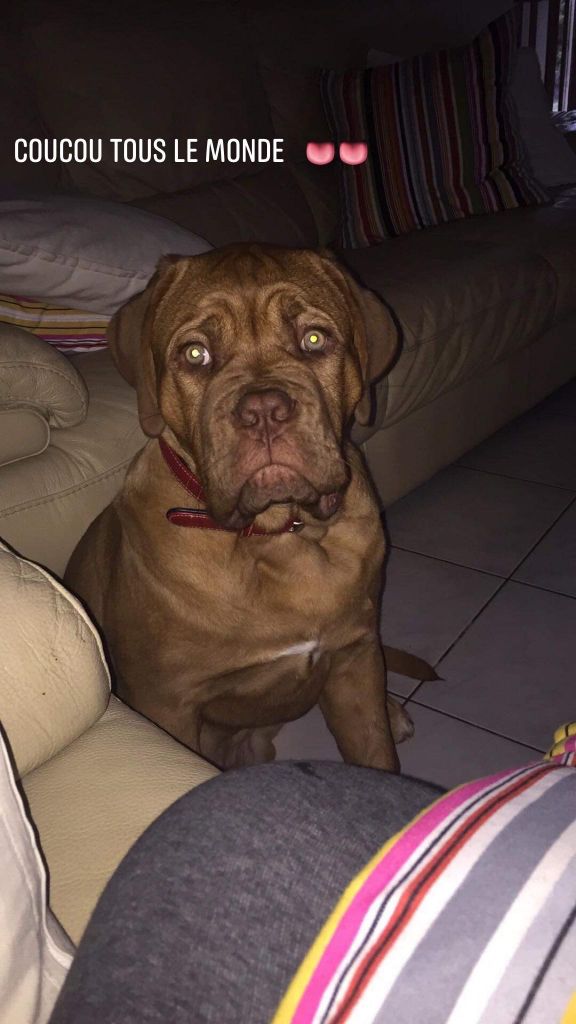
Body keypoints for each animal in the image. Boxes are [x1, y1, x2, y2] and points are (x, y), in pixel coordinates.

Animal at [65, 244, 414, 770]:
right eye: (196, 353)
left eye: (314, 339)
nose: (264, 409)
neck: (278, 535)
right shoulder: (168, 704)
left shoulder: (355, 656)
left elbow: (374, 752)